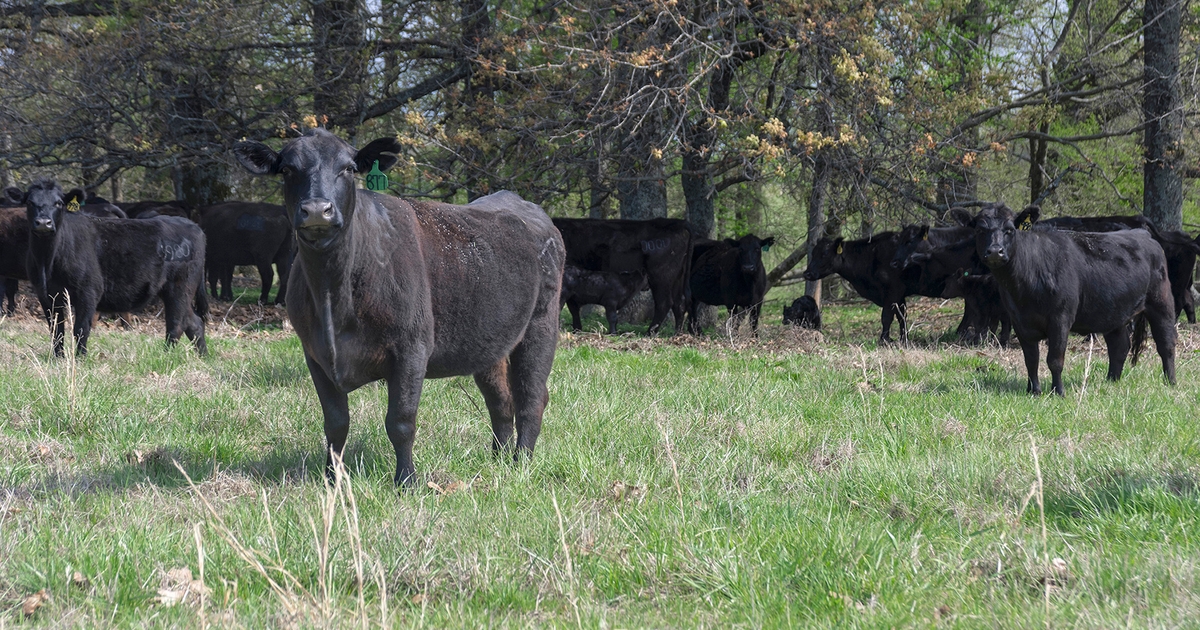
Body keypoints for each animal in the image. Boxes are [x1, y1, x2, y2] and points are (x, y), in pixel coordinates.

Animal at [21, 178, 207, 355]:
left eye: (58, 203)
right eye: (30, 202)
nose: (43, 223)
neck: (47, 262)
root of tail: (193, 226)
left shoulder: (88, 291)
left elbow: (81, 329)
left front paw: (80, 359)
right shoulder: (46, 295)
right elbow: (56, 331)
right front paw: (58, 358)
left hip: (180, 288)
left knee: (176, 325)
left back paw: (165, 357)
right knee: (194, 323)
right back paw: (203, 356)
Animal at [240, 129, 571, 487]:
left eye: (348, 169)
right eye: (287, 169)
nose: (317, 209)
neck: (334, 299)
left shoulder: (412, 348)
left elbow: (400, 421)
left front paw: (407, 481)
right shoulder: (314, 353)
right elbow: (336, 423)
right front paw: (332, 479)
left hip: (542, 324)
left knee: (532, 397)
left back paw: (522, 463)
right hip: (491, 340)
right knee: (500, 400)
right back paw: (499, 460)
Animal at [552, 217, 696, 333]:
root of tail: (676, 222)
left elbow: (571, 306)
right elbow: (573, 307)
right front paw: (577, 329)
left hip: (661, 277)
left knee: (664, 303)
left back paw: (650, 332)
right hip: (677, 278)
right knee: (679, 303)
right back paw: (676, 333)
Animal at [969, 204, 1176, 396]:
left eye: (1010, 230)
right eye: (980, 230)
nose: (995, 251)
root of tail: (1142, 233)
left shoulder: (1060, 318)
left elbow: (1055, 360)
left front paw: (1058, 392)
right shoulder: (1019, 321)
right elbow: (1031, 359)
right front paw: (1034, 391)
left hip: (1161, 303)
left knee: (1166, 344)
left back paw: (1170, 382)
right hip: (1113, 313)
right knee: (1119, 346)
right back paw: (1111, 381)